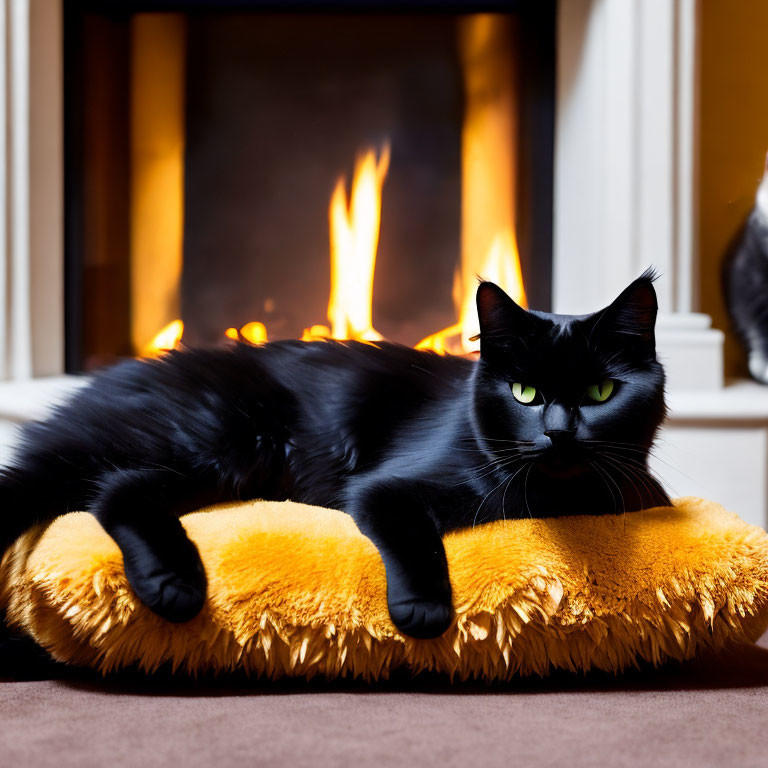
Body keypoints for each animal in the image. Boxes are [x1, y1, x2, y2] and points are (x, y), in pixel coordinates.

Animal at [1, 272, 664, 640]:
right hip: (221, 440)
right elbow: (415, 537)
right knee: (115, 491)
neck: (558, 497)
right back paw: (175, 585)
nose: (559, 434)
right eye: (525, 393)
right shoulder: (383, 489)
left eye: (600, 393)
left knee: (115, 490)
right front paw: (423, 609)